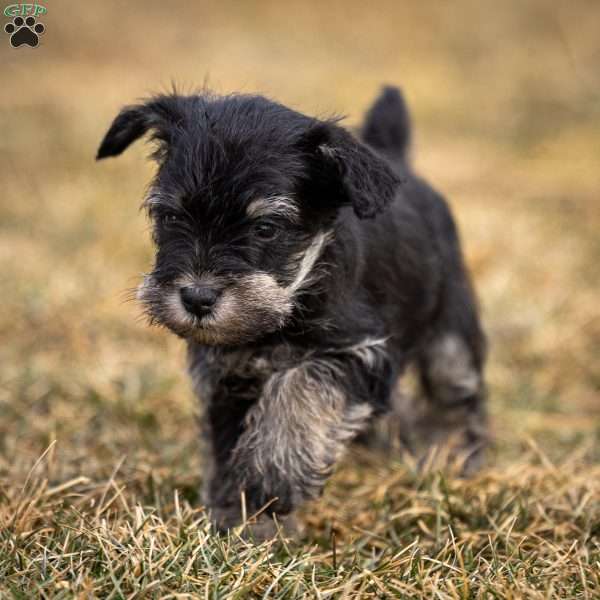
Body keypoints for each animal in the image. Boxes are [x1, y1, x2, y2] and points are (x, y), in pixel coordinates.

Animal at [96, 86, 486, 532]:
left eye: (266, 228)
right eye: (171, 216)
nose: (196, 297)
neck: (290, 303)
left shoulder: (359, 350)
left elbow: (301, 387)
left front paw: (273, 478)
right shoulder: (225, 377)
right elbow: (227, 444)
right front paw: (242, 518)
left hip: (450, 334)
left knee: (456, 394)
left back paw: (455, 456)